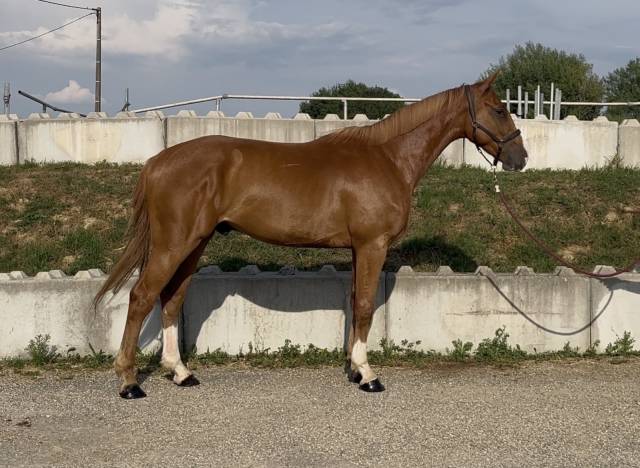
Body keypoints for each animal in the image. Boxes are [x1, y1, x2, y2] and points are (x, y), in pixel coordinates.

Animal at [94, 73, 528, 399]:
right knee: (142, 297)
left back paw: (180, 372)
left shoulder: (358, 249)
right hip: (174, 244)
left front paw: (354, 369)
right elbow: (366, 305)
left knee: (171, 299)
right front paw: (369, 376)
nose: (520, 158)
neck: (387, 159)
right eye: (499, 109)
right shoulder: (372, 245)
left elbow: (355, 303)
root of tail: (157, 161)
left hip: (194, 245)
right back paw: (129, 381)